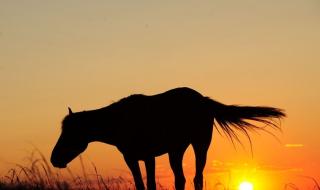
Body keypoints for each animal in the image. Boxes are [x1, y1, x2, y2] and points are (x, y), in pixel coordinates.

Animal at [51, 87, 286, 189]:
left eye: (70, 133)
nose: (55, 159)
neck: (121, 120)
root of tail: (203, 99)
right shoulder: (132, 158)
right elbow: (141, 184)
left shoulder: (148, 157)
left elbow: (151, 184)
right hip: (176, 150)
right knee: (180, 179)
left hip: (200, 146)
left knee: (197, 178)